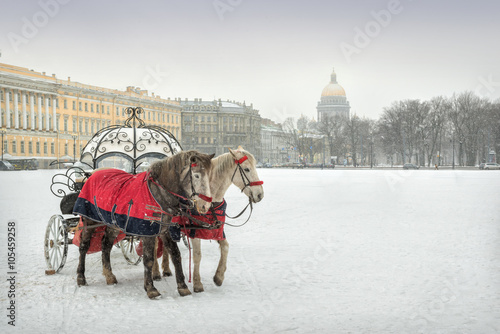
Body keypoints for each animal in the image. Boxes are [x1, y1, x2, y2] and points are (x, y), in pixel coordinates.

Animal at [74, 150, 213, 298]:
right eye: (197, 175)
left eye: (209, 174)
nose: (206, 205)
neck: (158, 194)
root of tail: (93, 174)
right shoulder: (147, 232)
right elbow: (149, 259)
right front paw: (150, 288)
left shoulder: (165, 230)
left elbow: (176, 255)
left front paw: (182, 286)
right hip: (89, 221)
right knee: (84, 246)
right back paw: (81, 277)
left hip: (113, 225)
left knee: (106, 245)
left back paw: (109, 276)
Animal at [157, 147, 266, 294]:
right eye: (247, 169)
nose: (260, 194)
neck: (212, 201)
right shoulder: (194, 231)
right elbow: (197, 255)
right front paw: (197, 283)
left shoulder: (217, 229)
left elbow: (225, 247)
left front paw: (219, 276)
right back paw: (155, 272)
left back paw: (166, 268)